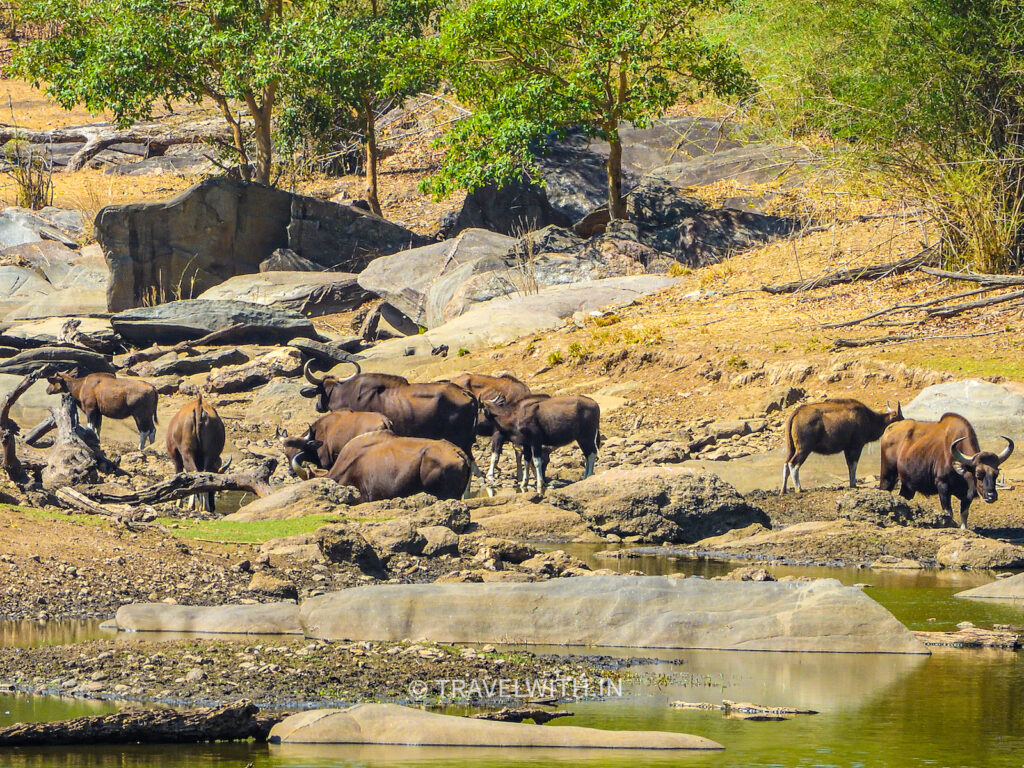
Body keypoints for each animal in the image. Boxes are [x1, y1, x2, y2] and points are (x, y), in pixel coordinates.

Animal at [876, 411, 1011, 532]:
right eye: (978, 474)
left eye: (996, 474)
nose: (991, 496)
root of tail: (890, 429)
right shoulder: (942, 486)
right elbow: (948, 512)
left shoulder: (968, 493)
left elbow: (964, 513)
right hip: (887, 476)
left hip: (907, 485)